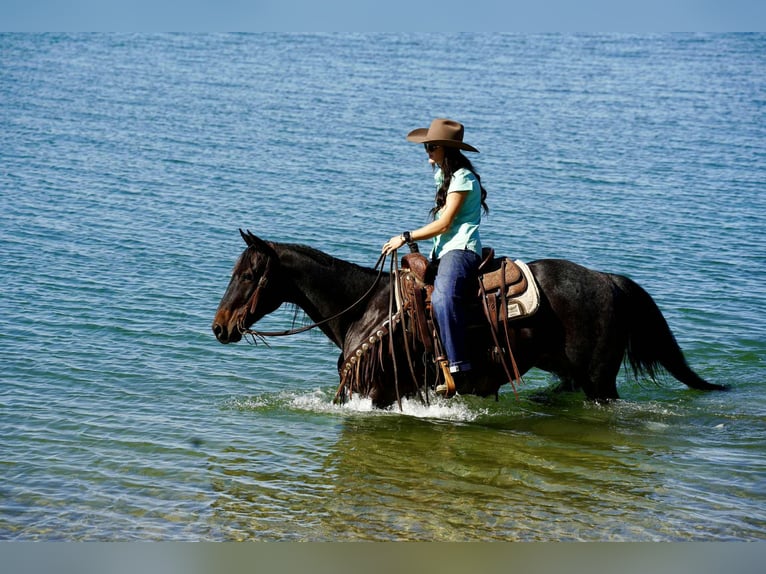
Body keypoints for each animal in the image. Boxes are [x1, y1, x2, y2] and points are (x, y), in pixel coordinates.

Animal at [212, 230, 726, 408]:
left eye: (248, 274)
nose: (219, 327)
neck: (363, 306)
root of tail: (609, 281)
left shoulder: (377, 392)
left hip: (601, 383)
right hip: (573, 374)